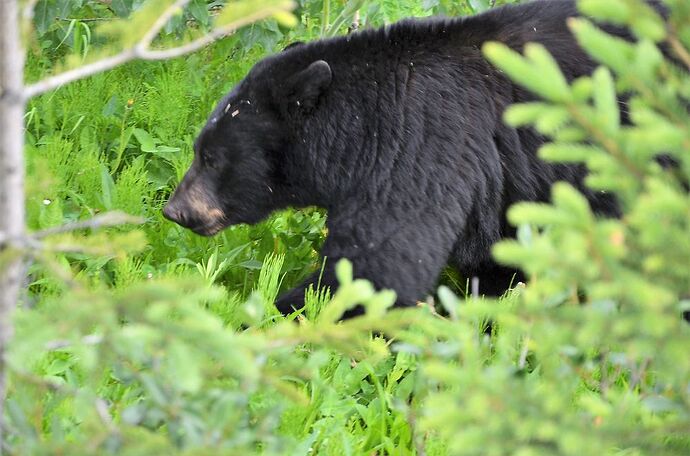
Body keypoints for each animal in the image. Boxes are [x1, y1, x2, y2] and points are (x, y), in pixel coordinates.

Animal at [163, 0, 636, 316]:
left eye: (211, 157)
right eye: (199, 149)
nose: (174, 210)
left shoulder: (423, 143)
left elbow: (381, 265)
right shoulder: (506, 182)